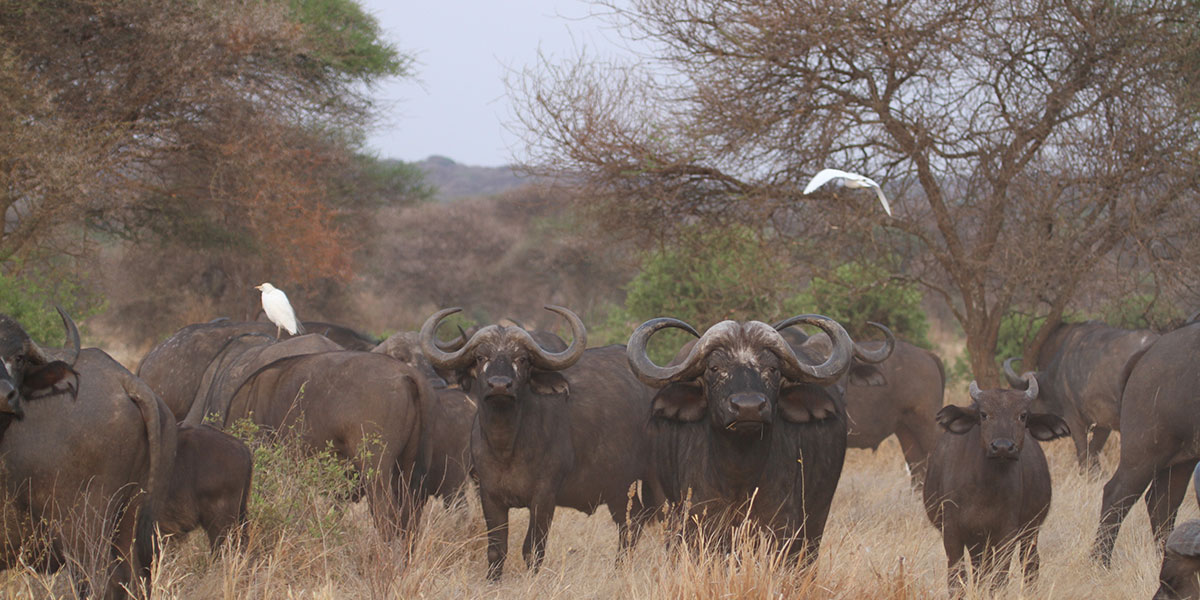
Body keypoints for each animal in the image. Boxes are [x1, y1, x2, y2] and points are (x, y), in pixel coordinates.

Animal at [0, 310, 175, 598]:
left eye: (19, 357)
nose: (6, 395)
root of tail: (123, 380)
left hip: (82, 531)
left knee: (100, 583)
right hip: (130, 523)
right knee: (135, 581)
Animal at [420, 306, 656, 581]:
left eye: (522, 359)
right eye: (480, 357)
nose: (499, 385)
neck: (506, 447)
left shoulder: (544, 497)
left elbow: (532, 548)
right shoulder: (489, 495)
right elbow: (496, 548)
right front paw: (493, 580)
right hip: (617, 487)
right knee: (631, 520)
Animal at [626, 314, 884, 562]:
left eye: (773, 369)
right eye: (714, 368)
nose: (748, 407)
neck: (739, 472)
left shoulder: (782, 525)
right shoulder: (699, 519)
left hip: (816, 518)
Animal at [923, 375, 1069, 594]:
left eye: (1022, 415)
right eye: (984, 414)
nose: (1002, 447)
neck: (984, 488)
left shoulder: (1007, 532)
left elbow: (999, 579)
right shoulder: (953, 532)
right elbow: (957, 580)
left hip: (1030, 531)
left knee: (1030, 563)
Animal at [1092, 323, 1200, 565]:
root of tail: (1151, 349)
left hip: (1182, 459)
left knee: (1163, 503)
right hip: (1144, 451)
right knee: (1116, 495)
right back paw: (1100, 561)